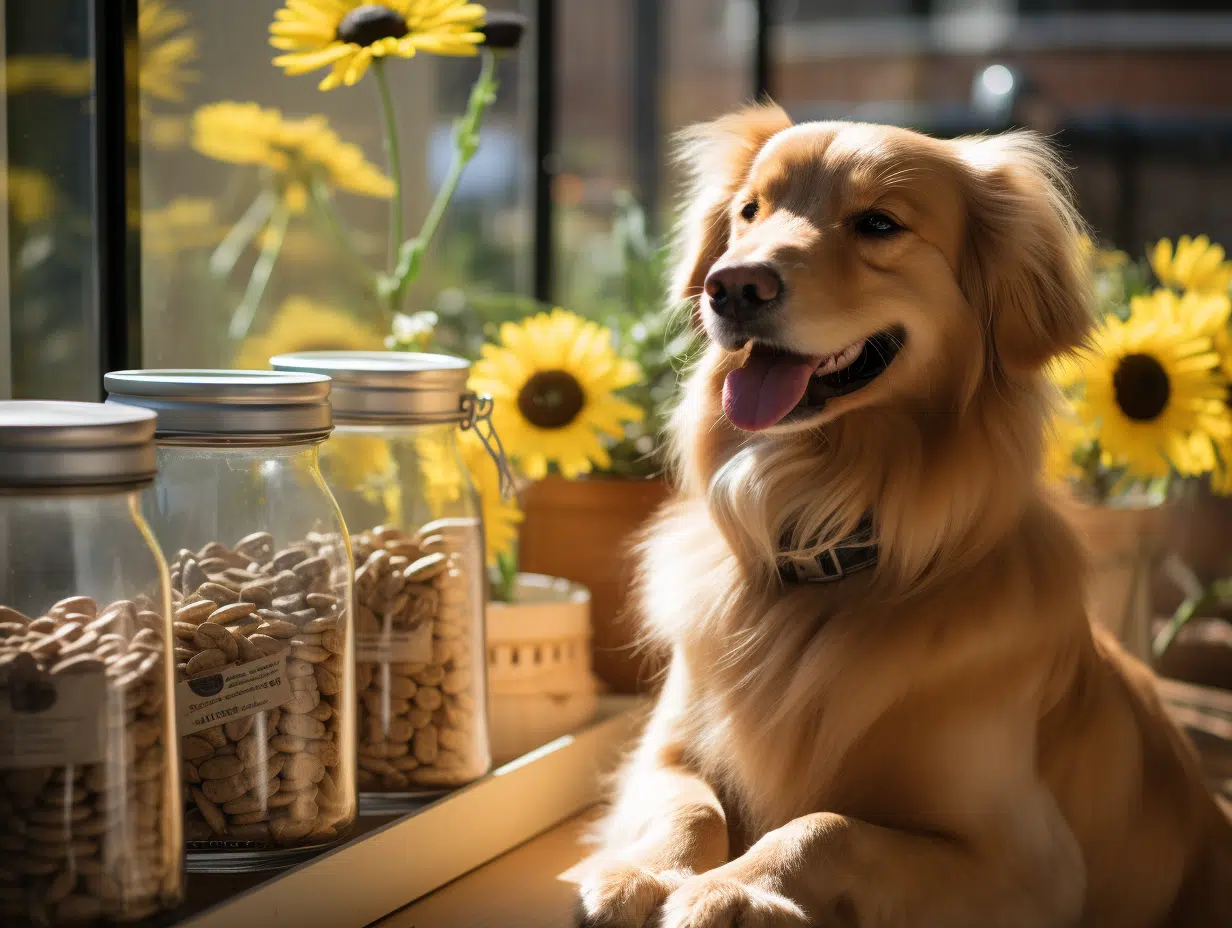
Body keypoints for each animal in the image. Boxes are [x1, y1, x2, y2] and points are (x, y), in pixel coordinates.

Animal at [574, 104, 1232, 926]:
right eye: (750, 212)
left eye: (879, 224)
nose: (732, 287)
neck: (825, 527)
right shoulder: (660, 750)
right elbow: (688, 803)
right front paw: (641, 872)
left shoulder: (1031, 864)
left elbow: (827, 825)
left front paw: (738, 885)